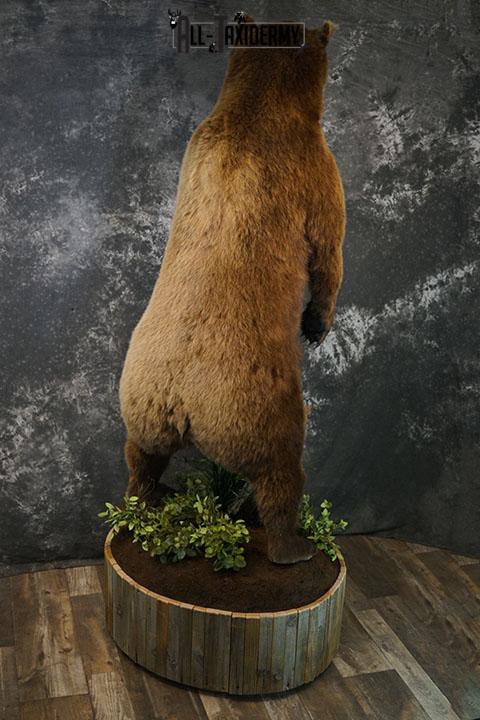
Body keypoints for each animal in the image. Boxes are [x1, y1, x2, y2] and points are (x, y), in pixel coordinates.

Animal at [119, 20, 345, 564]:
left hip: (140, 399)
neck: (255, 108)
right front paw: (317, 324)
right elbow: (329, 246)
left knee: (140, 453)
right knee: (280, 469)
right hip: (255, 405)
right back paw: (293, 547)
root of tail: (180, 399)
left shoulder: (198, 141)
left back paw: (145, 498)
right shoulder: (314, 165)